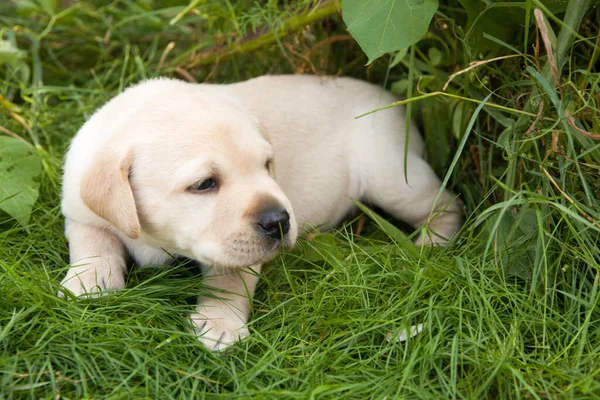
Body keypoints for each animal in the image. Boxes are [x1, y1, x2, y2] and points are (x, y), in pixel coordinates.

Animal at [61, 75, 462, 350]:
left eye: (267, 165)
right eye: (204, 184)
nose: (280, 220)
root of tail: (396, 102)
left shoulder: (238, 252)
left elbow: (230, 278)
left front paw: (220, 323)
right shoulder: (78, 205)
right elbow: (92, 239)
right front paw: (89, 281)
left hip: (392, 174)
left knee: (448, 203)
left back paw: (430, 244)